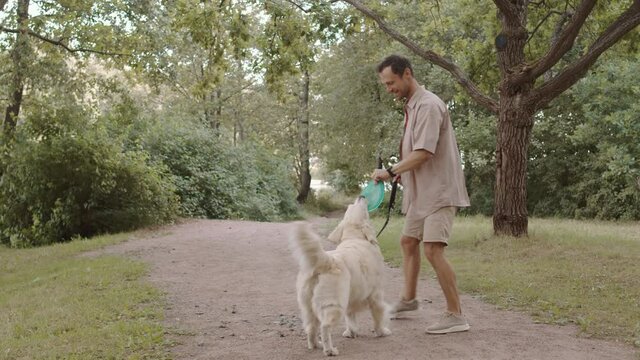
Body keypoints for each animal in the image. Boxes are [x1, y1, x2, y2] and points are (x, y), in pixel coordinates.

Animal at [290, 197, 390, 358]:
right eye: (361, 208)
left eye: (350, 207)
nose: (361, 196)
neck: (355, 237)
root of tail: (325, 261)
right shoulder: (376, 295)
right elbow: (378, 315)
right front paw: (382, 332)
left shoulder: (352, 298)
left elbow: (351, 317)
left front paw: (351, 332)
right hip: (334, 305)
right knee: (325, 327)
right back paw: (330, 350)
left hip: (307, 307)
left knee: (311, 328)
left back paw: (316, 345)